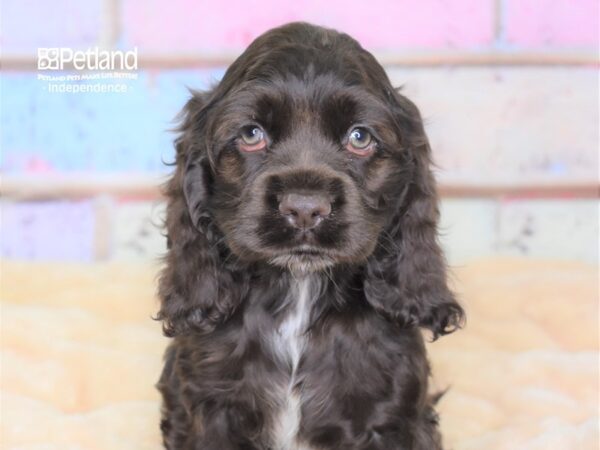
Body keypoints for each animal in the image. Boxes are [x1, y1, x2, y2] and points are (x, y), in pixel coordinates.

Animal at [156, 22, 464, 450]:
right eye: (251, 134)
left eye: (360, 137)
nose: (305, 208)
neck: (299, 289)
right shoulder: (211, 408)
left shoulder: (391, 415)